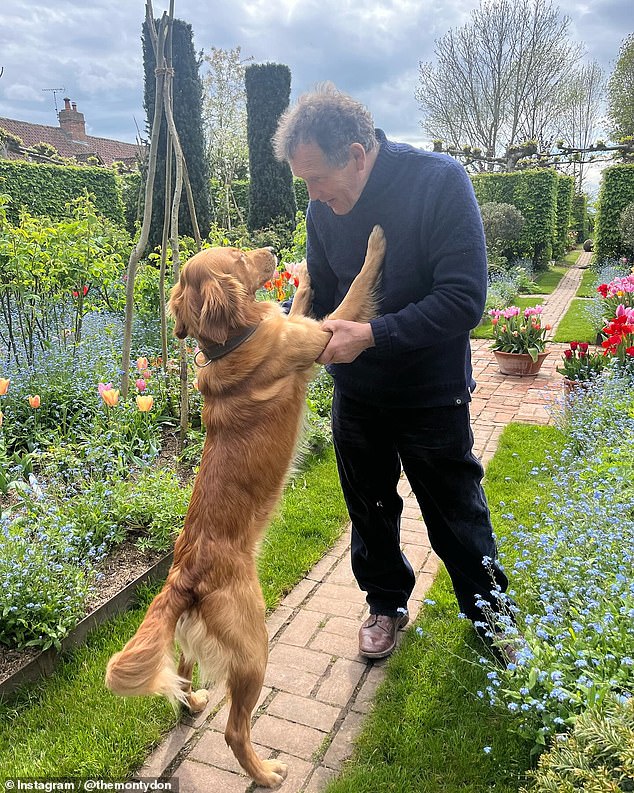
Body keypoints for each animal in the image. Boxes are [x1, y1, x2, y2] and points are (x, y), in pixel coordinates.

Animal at [105, 223, 382, 784]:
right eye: (237, 255)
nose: (273, 250)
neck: (230, 341)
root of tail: (184, 577)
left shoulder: (305, 325)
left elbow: (303, 299)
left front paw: (303, 274)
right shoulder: (322, 336)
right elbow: (355, 286)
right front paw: (377, 241)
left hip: (195, 644)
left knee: (180, 678)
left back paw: (191, 703)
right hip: (255, 647)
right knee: (235, 729)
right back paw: (265, 773)